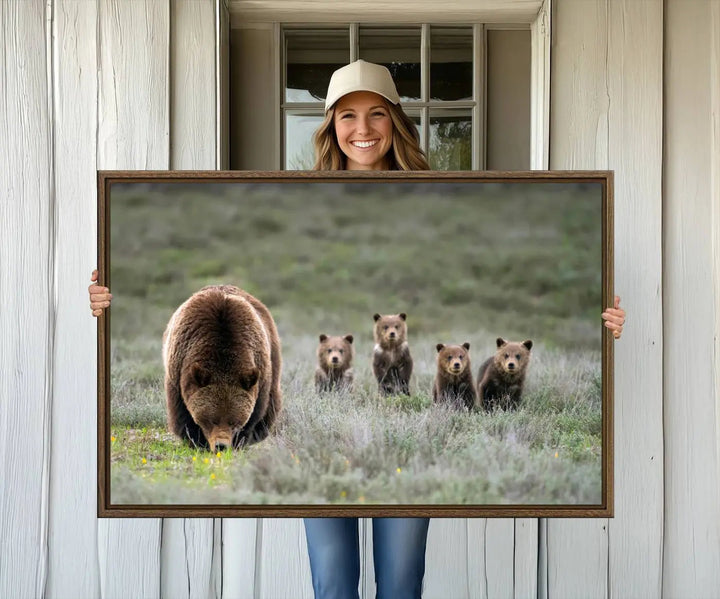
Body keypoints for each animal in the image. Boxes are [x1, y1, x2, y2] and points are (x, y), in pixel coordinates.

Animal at [162, 284, 282, 450]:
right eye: (212, 420)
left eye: (234, 421)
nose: (221, 445)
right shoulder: (178, 371)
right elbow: (182, 413)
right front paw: (196, 440)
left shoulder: (260, 373)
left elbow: (255, 413)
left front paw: (240, 441)